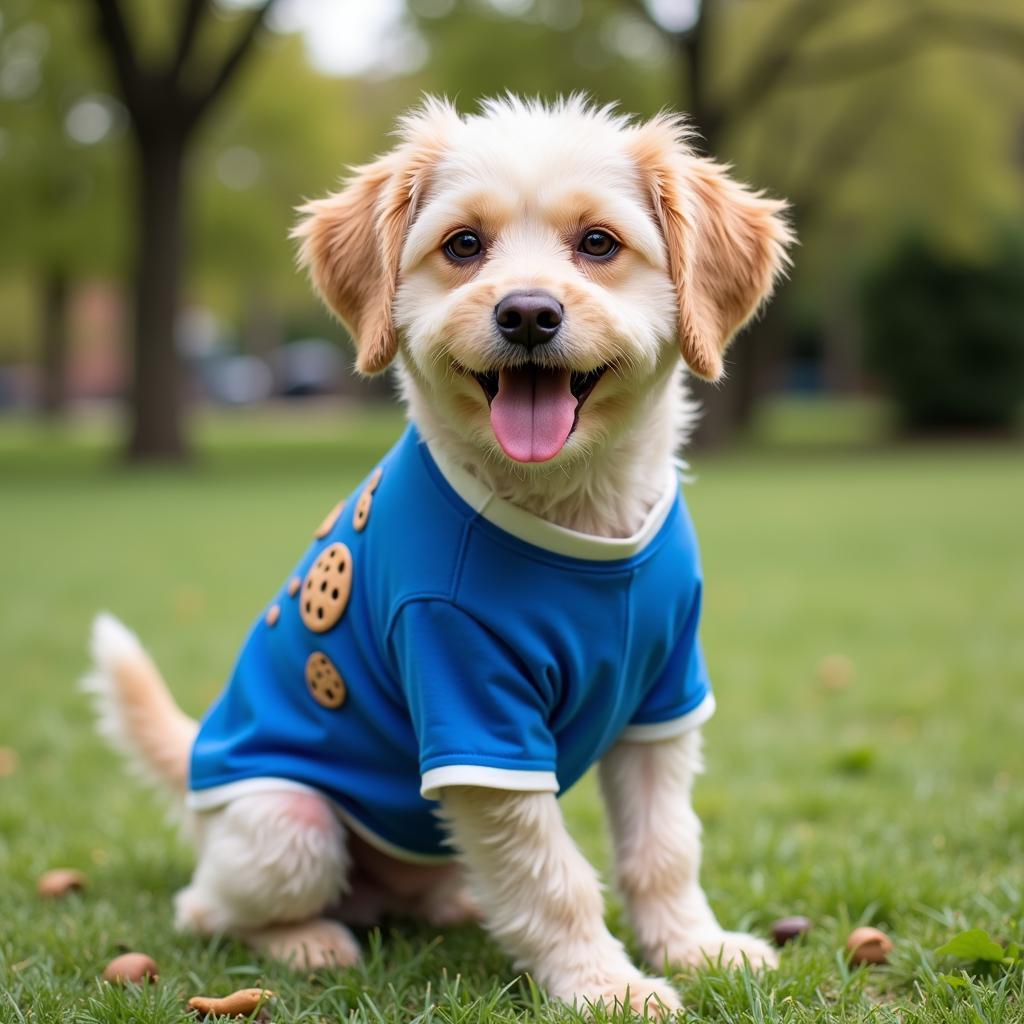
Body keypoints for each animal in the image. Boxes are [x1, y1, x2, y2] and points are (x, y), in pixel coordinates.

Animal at [86, 96, 790, 1015]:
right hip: (286, 828)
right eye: (463, 245)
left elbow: (663, 849)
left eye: (599, 243)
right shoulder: (473, 711)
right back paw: (309, 941)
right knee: (204, 906)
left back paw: (457, 905)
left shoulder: (662, 705)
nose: (527, 314)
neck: (577, 515)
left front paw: (694, 947)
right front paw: (607, 986)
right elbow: (554, 877)